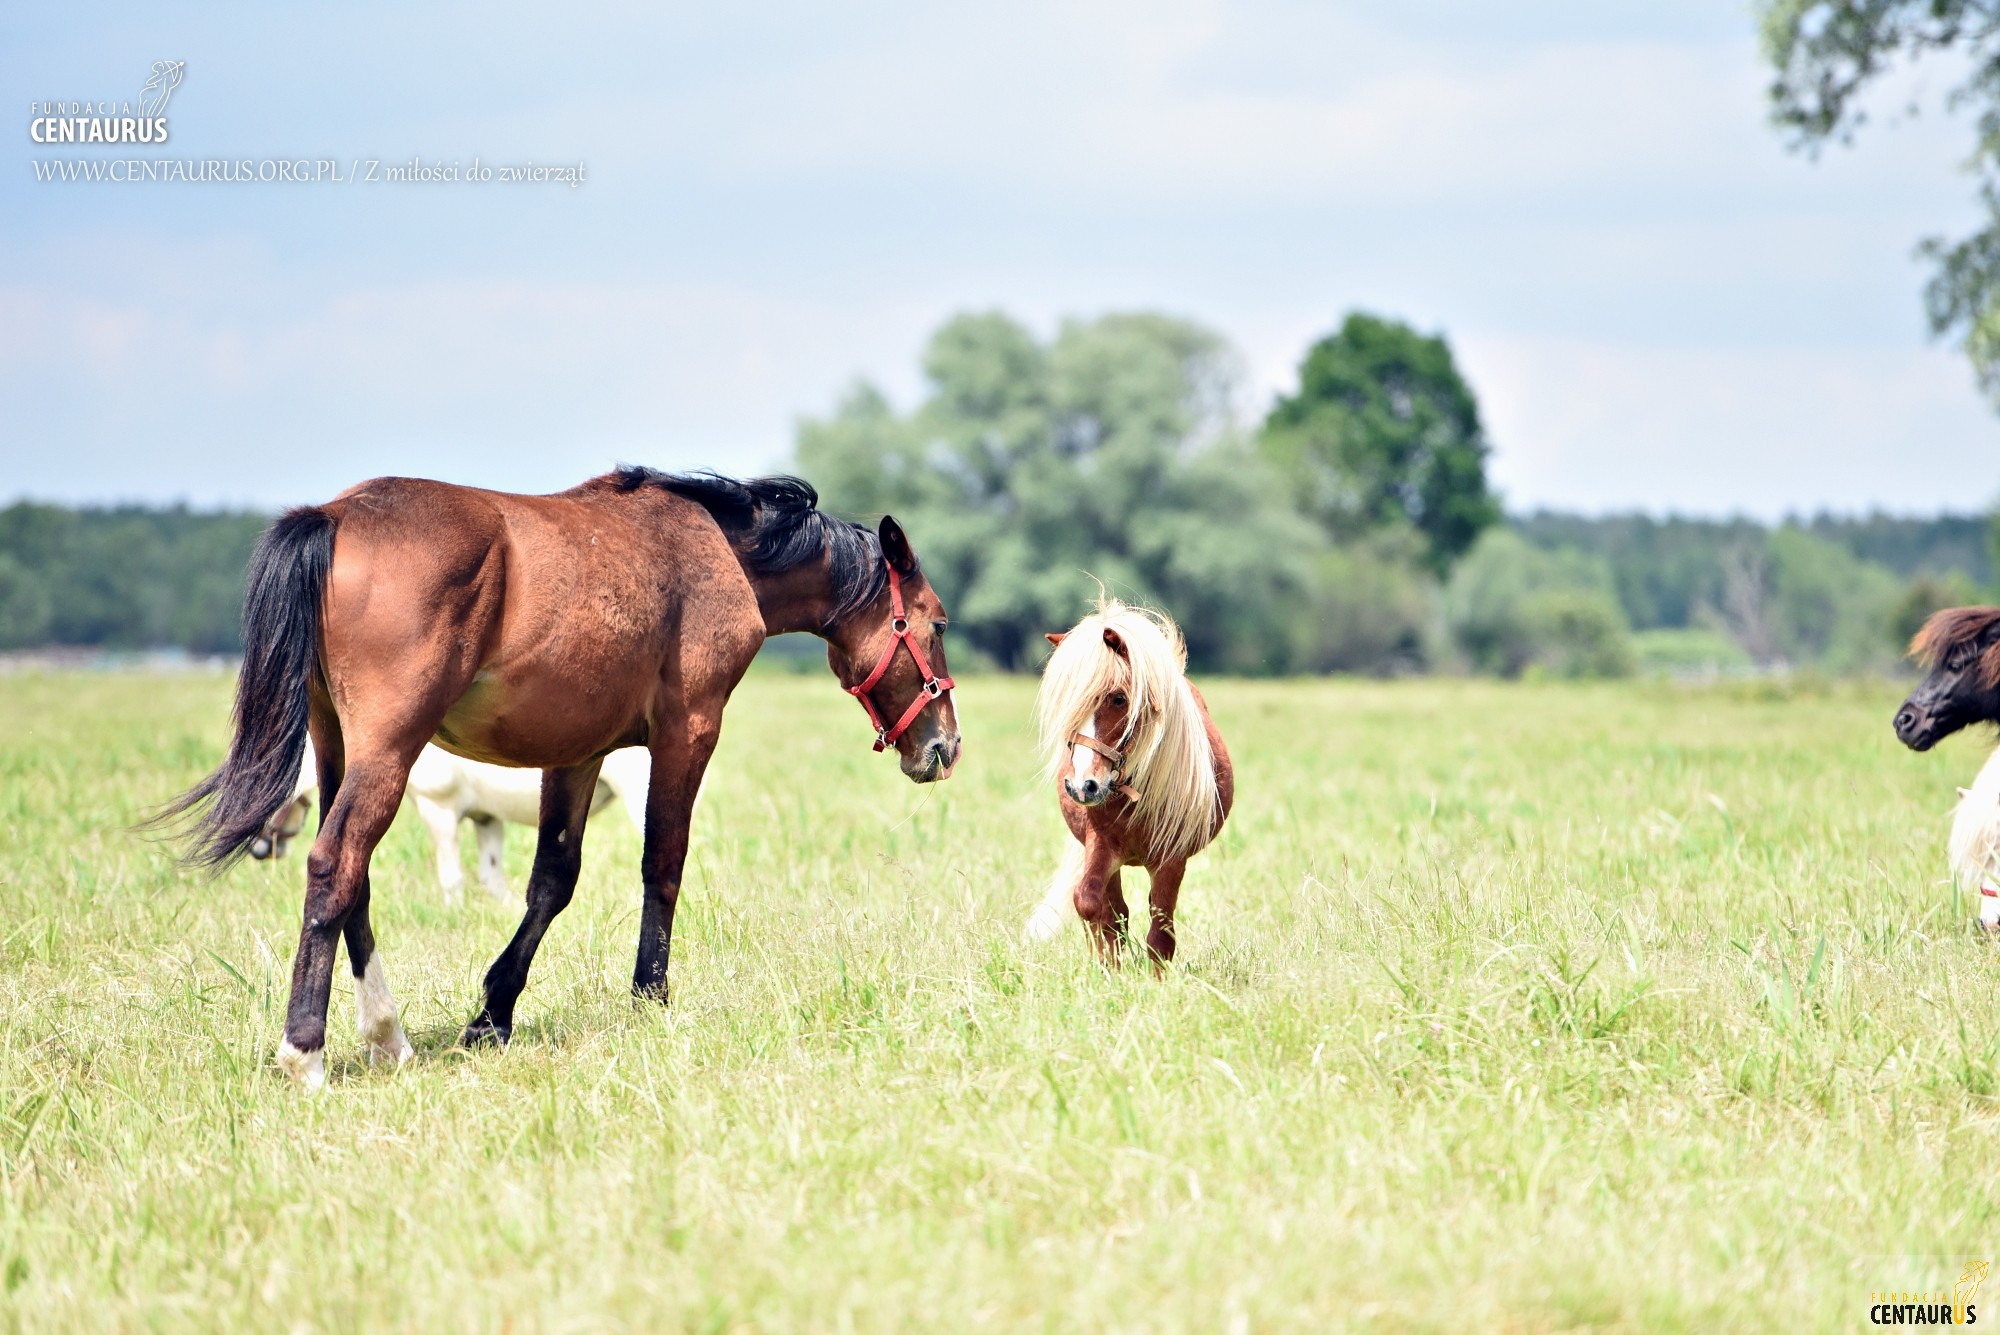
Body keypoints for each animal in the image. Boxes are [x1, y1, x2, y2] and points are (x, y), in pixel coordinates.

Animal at [1024, 603, 1224, 959]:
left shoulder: (1171, 859)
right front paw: (1106, 966)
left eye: (1118, 698)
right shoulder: (1100, 843)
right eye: (1067, 705)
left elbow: (1160, 932)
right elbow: (1092, 906)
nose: (1082, 785)